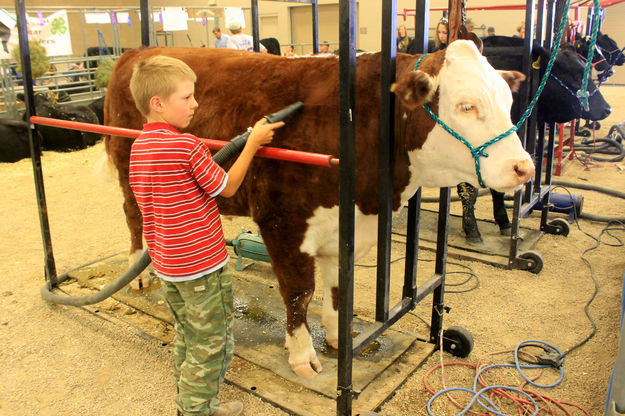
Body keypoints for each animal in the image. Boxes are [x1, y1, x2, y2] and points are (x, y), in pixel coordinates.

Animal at [105, 42, 532, 376]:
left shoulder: (345, 227)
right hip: (127, 165)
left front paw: (340, 337)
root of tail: (137, 51)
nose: (524, 167)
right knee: (132, 215)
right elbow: (300, 291)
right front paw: (302, 354)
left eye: (509, 102)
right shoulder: (283, 222)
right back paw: (138, 271)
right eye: (466, 105)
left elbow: (339, 286)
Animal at [458, 36, 608, 244]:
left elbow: (498, 189)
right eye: (577, 74)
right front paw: (472, 230)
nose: (607, 109)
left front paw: (504, 222)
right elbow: (469, 191)